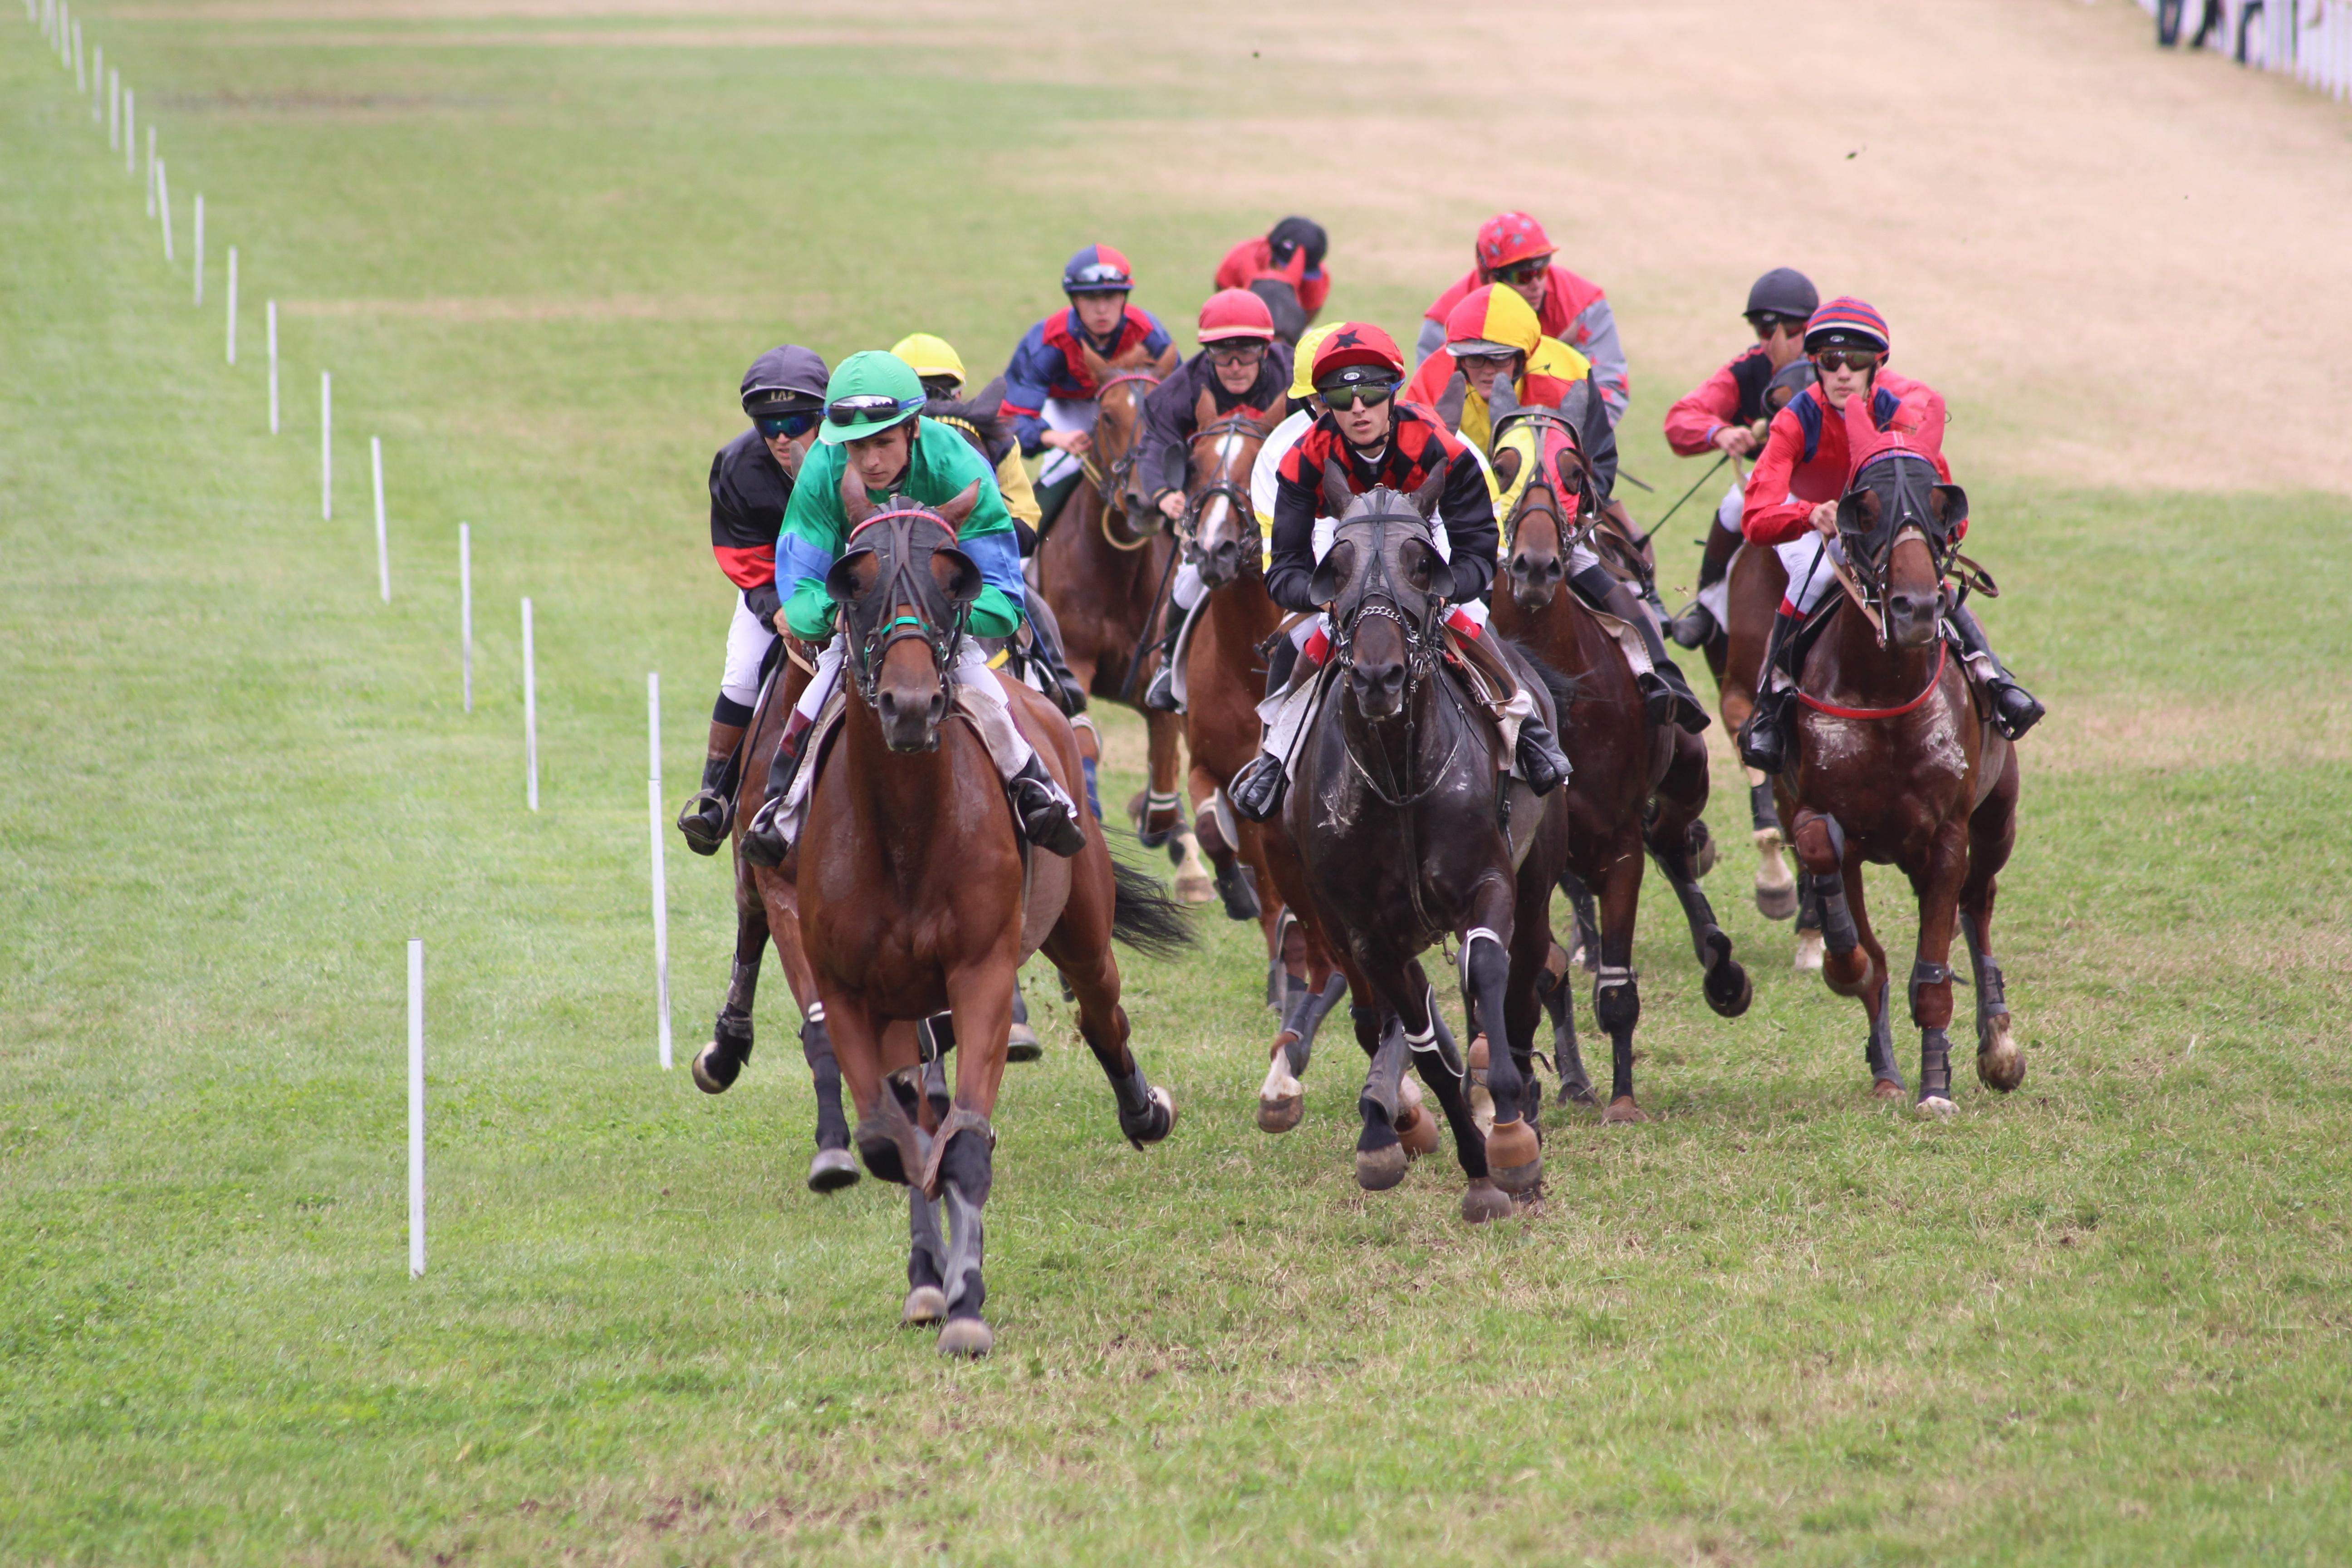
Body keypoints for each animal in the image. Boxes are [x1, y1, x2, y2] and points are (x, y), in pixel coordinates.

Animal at [799, 482, 1185, 1363]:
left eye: (955, 579)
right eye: (852, 580)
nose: (911, 705)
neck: (904, 829)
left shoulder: (980, 972)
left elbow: (965, 1140)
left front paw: (967, 1304)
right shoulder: (850, 990)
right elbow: (891, 1139)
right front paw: (930, 1278)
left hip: (1081, 926)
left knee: (1101, 1010)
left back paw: (1144, 1109)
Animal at [1030, 343, 1213, 907]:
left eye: (1162, 422)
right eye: (1107, 416)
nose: (1141, 501)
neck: (1119, 567)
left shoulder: (1158, 681)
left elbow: (1165, 776)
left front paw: (1187, 861)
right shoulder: (1075, 664)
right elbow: (1084, 739)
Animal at [1161, 392, 1354, 1128]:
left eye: (1251, 470)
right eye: (1192, 463)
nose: (1214, 550)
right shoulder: (1213, 770)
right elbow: (1214, 832)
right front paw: (1234, 895)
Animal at [1279, 472, 1571, 1222]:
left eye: (1420, 562)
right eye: (1337, 567)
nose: (1379, 676)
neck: (1400, 779)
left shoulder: (1489, 884)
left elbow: (1488, 971)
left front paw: (1511, 1138)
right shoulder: (1369, 937)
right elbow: (1426, 1047)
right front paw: (1478, 1171)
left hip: (1536, 879)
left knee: (1521, 983)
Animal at [1496, 404, 1759, 1123]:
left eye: (1572, 471)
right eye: (1502, 465)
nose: (1535, 566)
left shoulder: (1617, 845)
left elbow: (1615, 985)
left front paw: (1622, 1100)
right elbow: (1545, 970)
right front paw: (1569, 1083)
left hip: (1688, 771)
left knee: (1669, 841)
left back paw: (1721, 967)